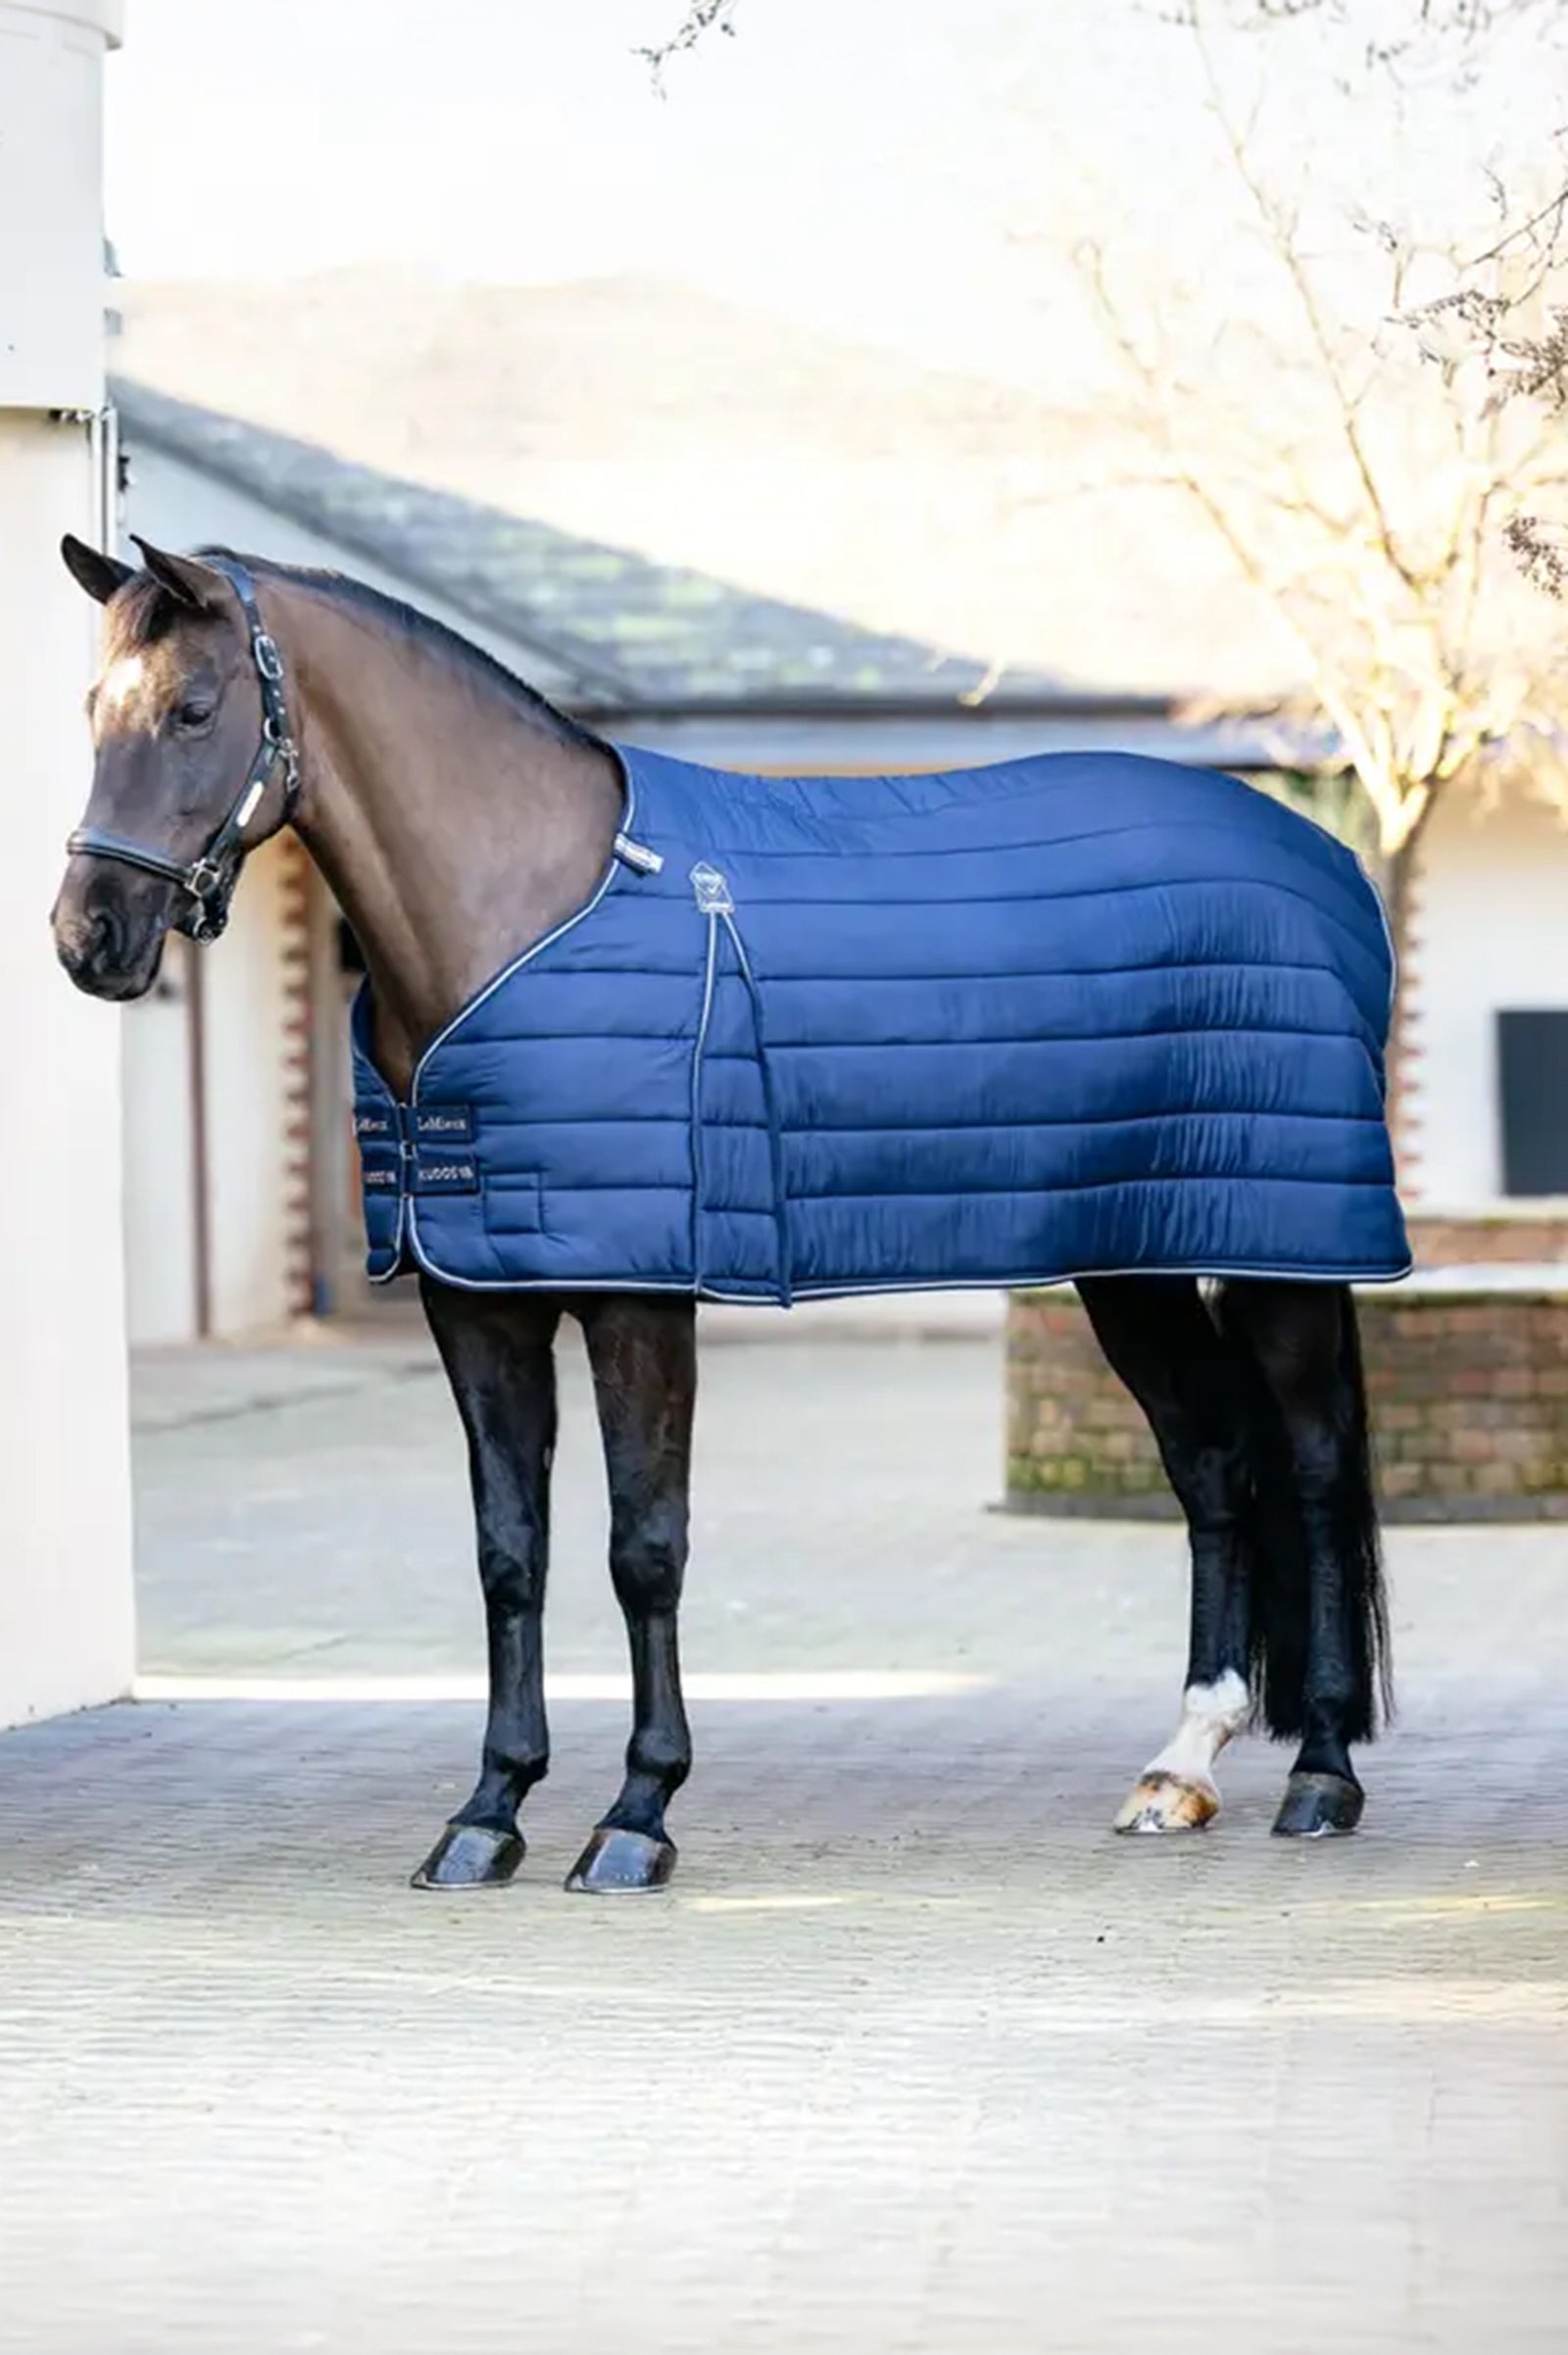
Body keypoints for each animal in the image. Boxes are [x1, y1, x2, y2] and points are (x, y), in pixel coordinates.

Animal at [52, 534, 1401, 1892]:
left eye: (194, 709)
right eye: (91, 709)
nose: (86, 936)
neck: (524, 917)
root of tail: (1327, 862)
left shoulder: (639, 1300)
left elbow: (643, 1549)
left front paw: (636, 1816)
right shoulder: (478, 1302)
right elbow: (509, 1553)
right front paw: (488, 1812)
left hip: (1282, 1263)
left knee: (1316, 1467)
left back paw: (1320, 1774)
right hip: (1136, 1259)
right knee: (1213, 1466)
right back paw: (1180, 1765)